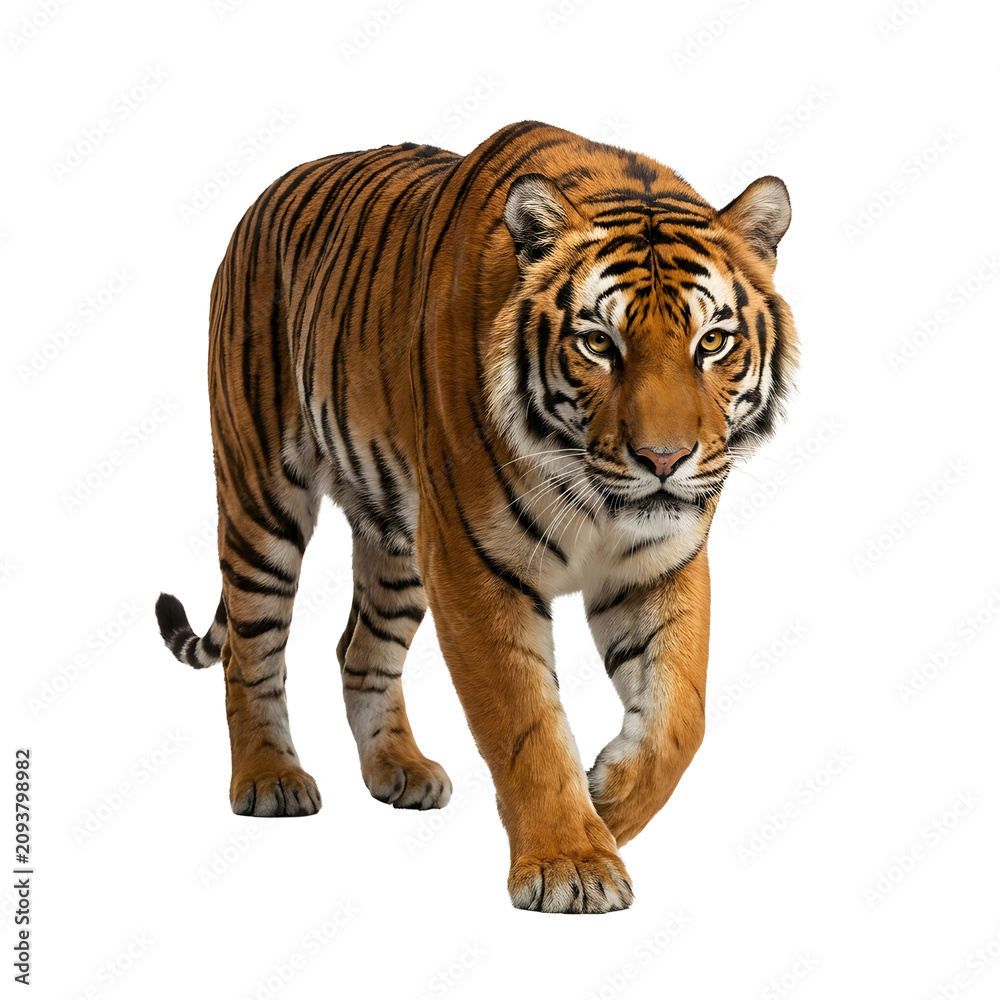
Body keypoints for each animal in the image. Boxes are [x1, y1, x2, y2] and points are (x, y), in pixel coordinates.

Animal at [155, 120, 797, 914]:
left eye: (712, 342)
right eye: (598, 342)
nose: (664, 458)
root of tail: (263, 197)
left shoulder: (659, 561)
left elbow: (682, 716)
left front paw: (608, 800)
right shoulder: (474, 565)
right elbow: (526, 721)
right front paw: (571, 861)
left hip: (400, 541)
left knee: (359, 649)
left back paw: (400, 770)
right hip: (262, 497)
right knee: (250, 651)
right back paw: (270, 779)